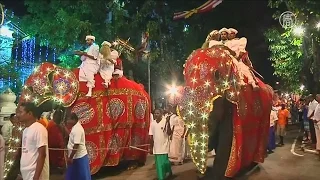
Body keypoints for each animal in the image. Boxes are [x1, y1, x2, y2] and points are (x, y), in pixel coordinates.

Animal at [13, 62, 151, 174]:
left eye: (32, 90)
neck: (65, 71)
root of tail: (144, 90)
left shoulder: (83, 106)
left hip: (140, 117)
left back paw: (132, 165)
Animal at [178, 46, 272, 179]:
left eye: (217, 75)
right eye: (184, 77)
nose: (200, 174)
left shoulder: (233, 104)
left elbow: (226, 139)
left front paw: (219, 175)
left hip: (265, 115)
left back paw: (253, 164)